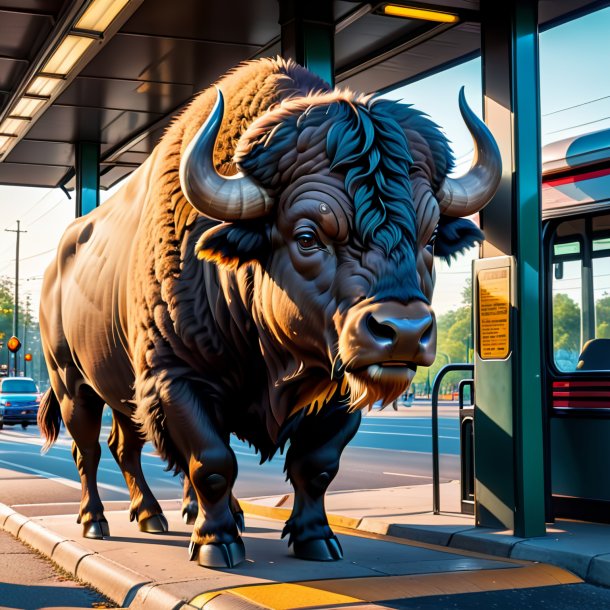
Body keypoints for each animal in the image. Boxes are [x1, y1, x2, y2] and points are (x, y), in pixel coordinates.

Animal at [36, 57, 498, 564]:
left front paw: (316, 538)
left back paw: (152, 514)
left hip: (120, 388)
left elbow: (316, 465)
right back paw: (96, 521)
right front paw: (217, 544)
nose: (405, 331)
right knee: (89, 450)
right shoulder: (173, 379)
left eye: (430, 237)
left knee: (125, 447)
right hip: (72, 384)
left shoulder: (338, 391)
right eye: (307, 236)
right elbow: (212, 463)